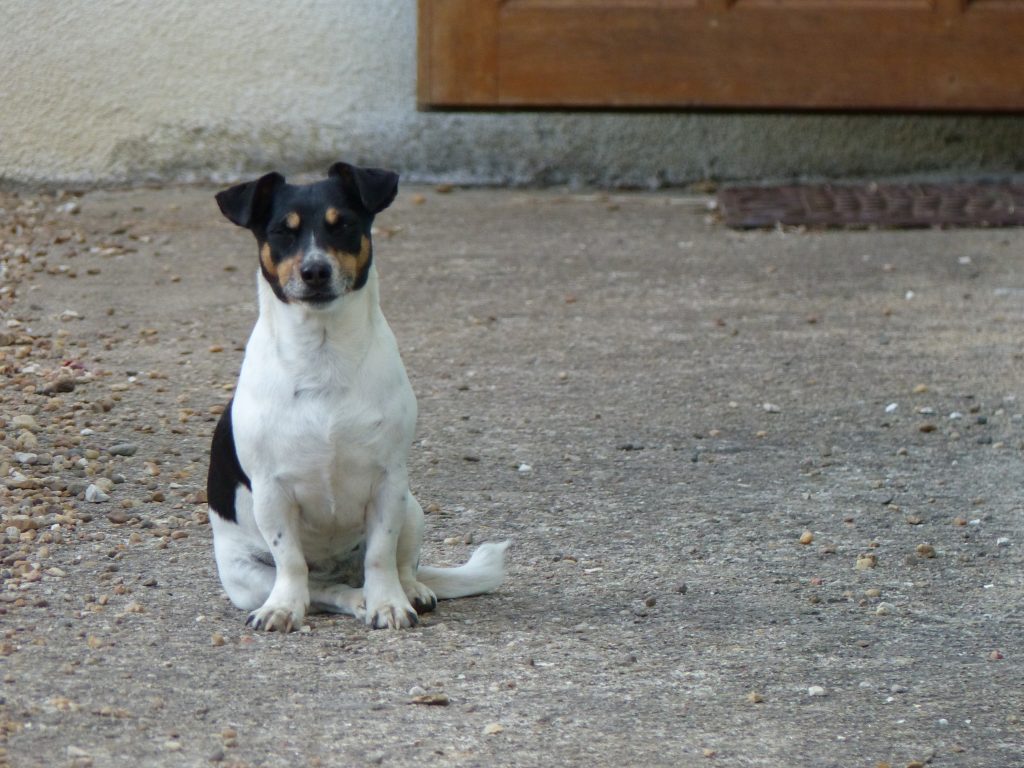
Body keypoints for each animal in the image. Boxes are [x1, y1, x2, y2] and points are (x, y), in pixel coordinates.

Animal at [207, 160, 507, 630]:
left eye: (344, 224)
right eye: (281, 232)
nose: (315, 271)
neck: (324, 354)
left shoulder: (388, 483)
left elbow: (381, 556)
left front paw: (390, 603)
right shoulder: (272, 493)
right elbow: (291, 562)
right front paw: (284, 607)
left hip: (412, 509)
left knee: (398, 565)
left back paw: (409, 591)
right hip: (246, 574)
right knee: (325, 589)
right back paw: (349, 599)